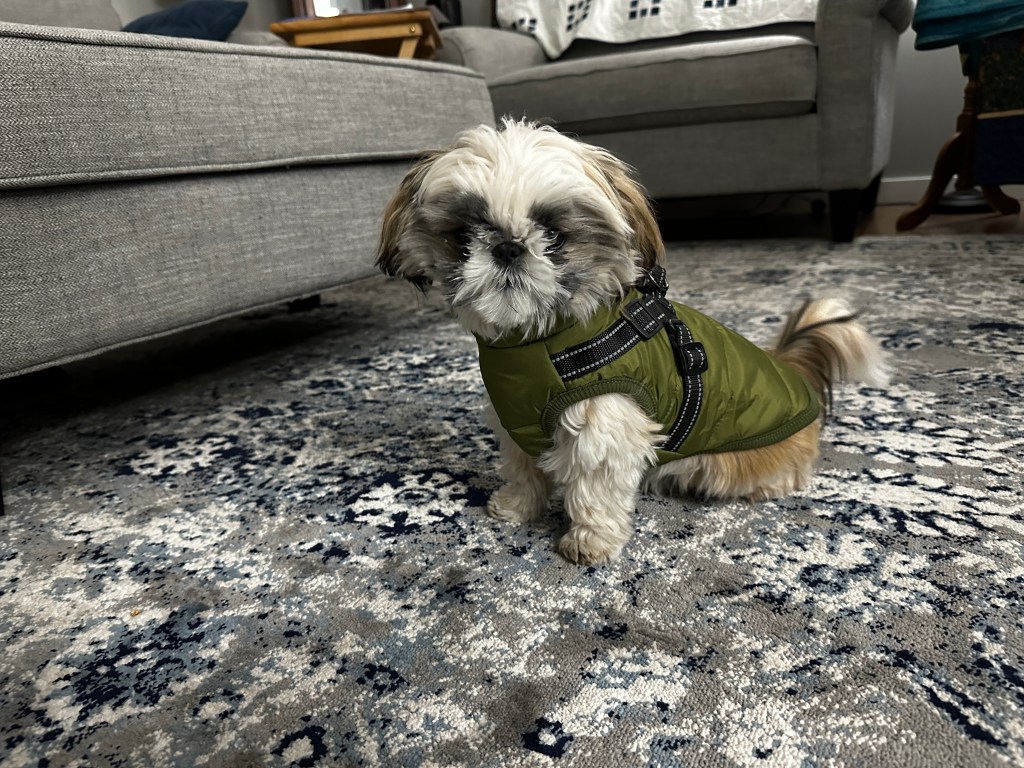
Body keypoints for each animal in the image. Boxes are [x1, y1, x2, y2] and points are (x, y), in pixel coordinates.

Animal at [375, 119, 889, 565]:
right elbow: (524, 469)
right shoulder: (513, 417)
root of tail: (787, 368)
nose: (508, 247)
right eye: (463, 236)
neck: (535, 344)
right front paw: (517, 507)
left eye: (555, 236)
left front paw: (589, 542)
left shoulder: (604, 424)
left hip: (729, 464)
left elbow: (594, 488)